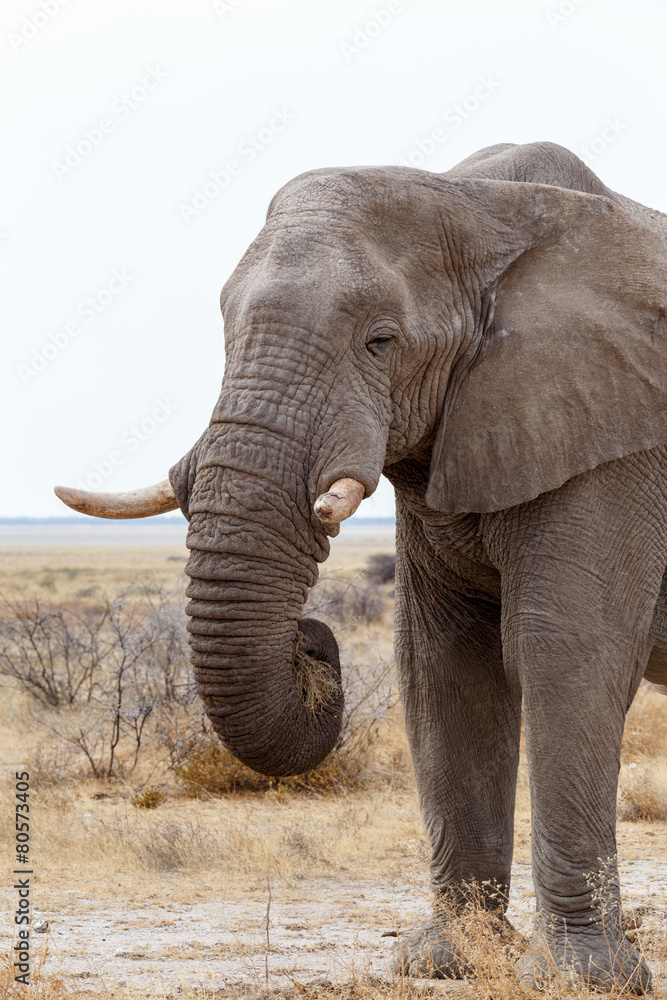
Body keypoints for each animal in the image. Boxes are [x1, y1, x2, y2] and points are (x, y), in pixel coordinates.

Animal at [55, 140, 667, 993]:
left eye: (380, 341)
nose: (311, 637)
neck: (479, 206)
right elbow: (443, 665)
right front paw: (446, 960)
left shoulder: (616, 439)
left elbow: (564, 653)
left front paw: (583, 977)